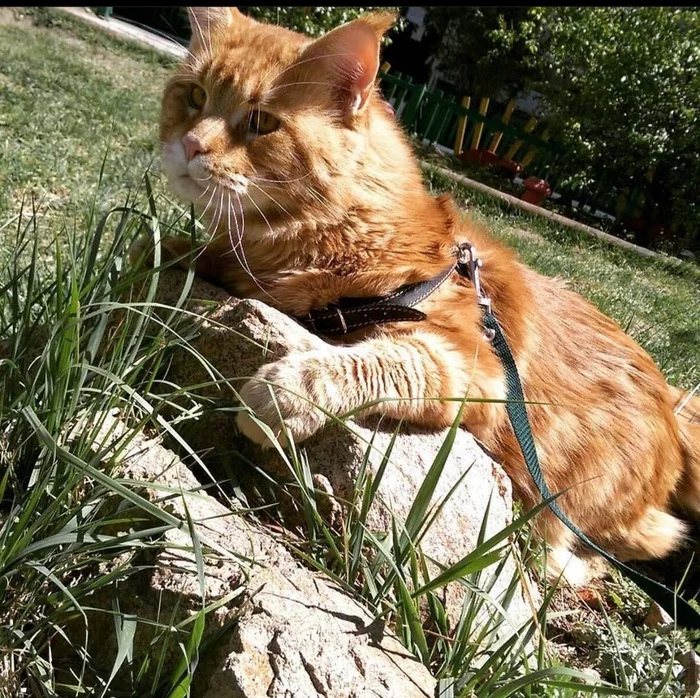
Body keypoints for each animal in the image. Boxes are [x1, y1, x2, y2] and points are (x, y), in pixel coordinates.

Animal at [133, 6, 700, 580]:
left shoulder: (471, 366)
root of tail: (674, 410)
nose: (190, 145)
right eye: (195, 96)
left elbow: (375, 362)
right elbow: (160, 247)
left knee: (597, 549)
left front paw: (286, 391)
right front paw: (158, 254)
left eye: (261, 122)